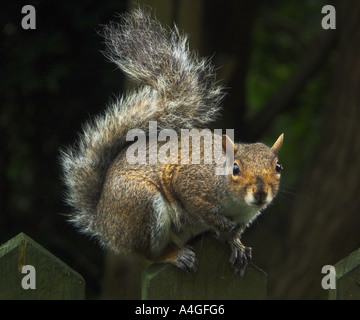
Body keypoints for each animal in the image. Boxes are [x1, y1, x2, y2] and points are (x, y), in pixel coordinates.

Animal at [59, 8, 284, 278]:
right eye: (236, 168)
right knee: (147, 253)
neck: (238, 203)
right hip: (142, 205)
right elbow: (200, 206)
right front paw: (221, 224)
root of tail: (104, 223)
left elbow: (235, 233)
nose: (260, 193)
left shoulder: (247, 215)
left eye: (278, 168)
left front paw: (237, 246)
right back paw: (174, 255)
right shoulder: (191, 182)